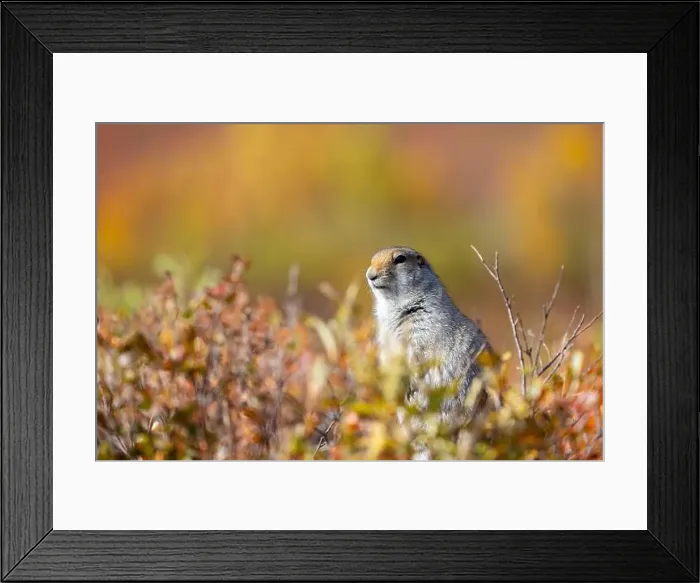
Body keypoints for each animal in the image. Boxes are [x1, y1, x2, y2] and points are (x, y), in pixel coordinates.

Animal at [366, 246, 493, 442]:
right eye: (372, 259)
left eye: (400, 259)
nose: (370, 275)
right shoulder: (385, 337)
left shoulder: (422, 328)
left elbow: (418, 355)